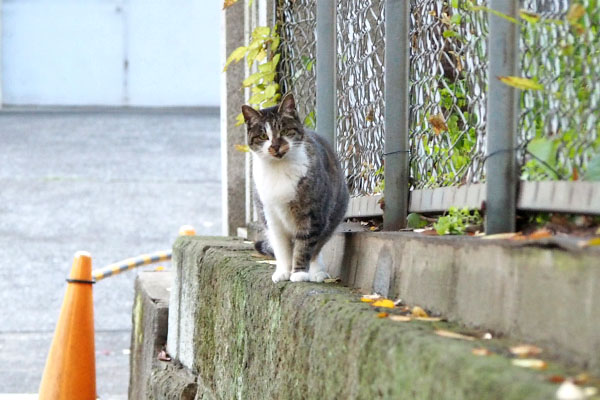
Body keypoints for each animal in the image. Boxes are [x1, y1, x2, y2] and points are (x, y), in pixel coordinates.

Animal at [241, 93, 350, 284]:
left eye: (284, 131)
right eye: (263, 135)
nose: (275, 146)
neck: (279, 169)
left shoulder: (312, 214)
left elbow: (304, 246)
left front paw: (299, 273)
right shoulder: (272, 216)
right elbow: (281, 247)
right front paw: (283, 271)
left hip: (334, 213)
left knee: (317, 247)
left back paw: (316, 272)